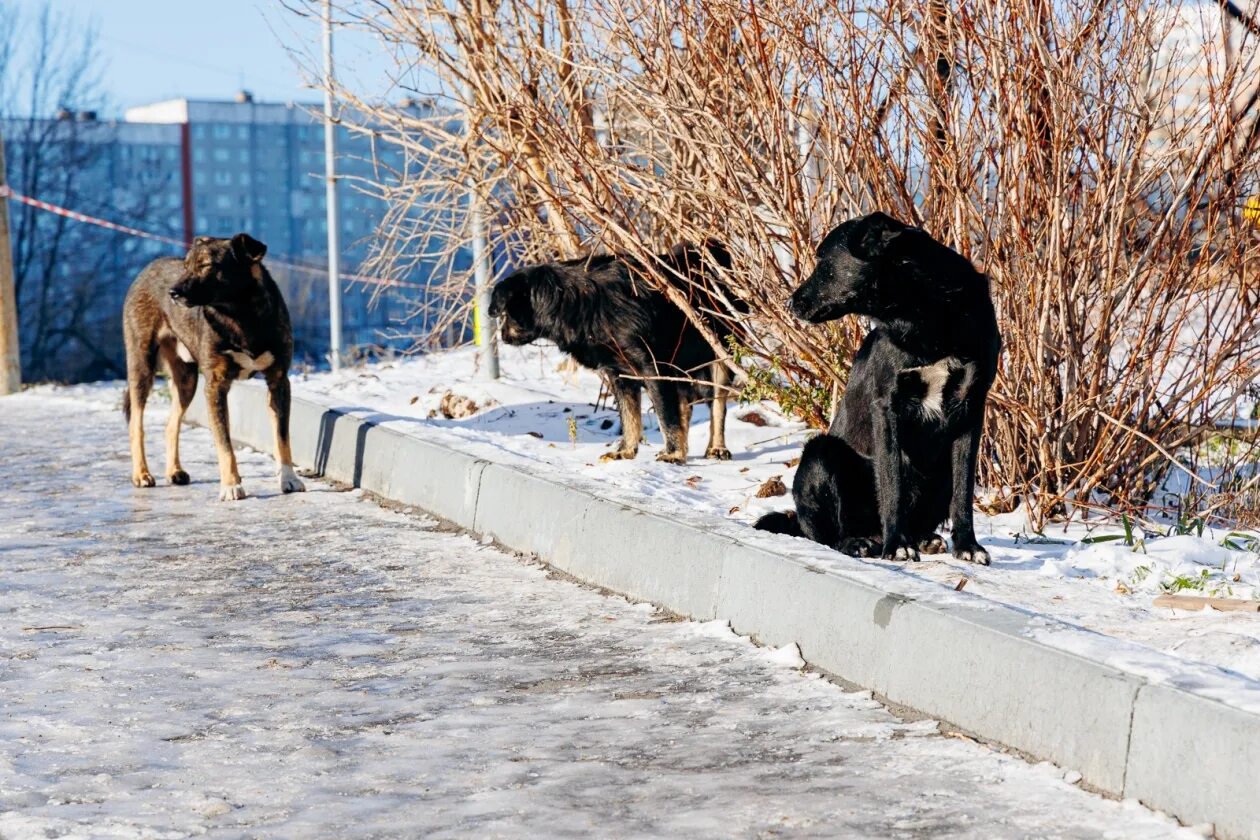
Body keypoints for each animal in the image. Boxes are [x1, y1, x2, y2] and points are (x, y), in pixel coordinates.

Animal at [481, 241, 735, 465]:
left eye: (505, 313)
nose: (503, 335)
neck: (574, 302)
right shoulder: (620, 375)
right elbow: (629, 415)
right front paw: (626, 451)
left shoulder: (653, 370)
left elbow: (666, 416)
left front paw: (673, 454)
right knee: (685, 406)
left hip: (718, 358)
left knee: (717, 406)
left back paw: (716, 448)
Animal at [756, 211, 1002, 564]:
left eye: (823, 261)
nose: (790, 303)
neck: (925, 312)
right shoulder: (887, 407)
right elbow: (891, 483)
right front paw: (897, 545)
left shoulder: (971, 407)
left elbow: (963, 490)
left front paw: (968, 546)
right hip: (820, 453)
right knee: (828, 536)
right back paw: (859, 543)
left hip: (938, 470)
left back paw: (922, 539)